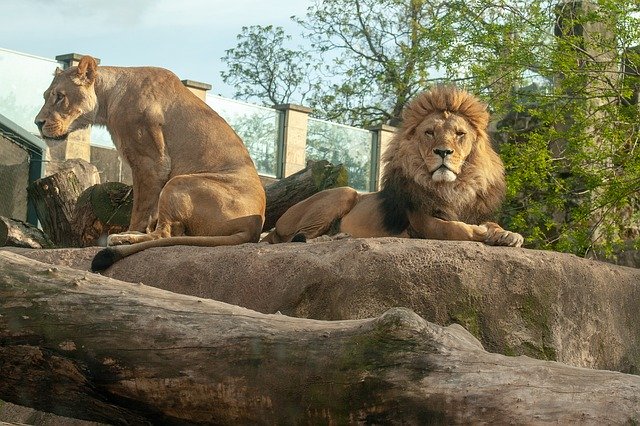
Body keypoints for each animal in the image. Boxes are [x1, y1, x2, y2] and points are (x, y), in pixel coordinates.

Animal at [35, 56, 264, 272]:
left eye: (60, 96)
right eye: (46, 95)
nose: (38, 123)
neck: (107, 99)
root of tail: (254, 226)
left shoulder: (150, 162)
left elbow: (141, 208)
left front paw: (130, 229)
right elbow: (150, 210)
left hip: (178, 182)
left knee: (164, 233)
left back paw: (122, 238)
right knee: (171, 232)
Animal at [262, 85, 524, 248]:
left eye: (460, 134)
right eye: (429, 133)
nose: (443, 152)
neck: (452, 187)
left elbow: (491, 223)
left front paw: (508, 234)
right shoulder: (422, 222)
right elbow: (453, 229)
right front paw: (481, 232)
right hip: (344, 192)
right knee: (297, 238)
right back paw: (332, 238)